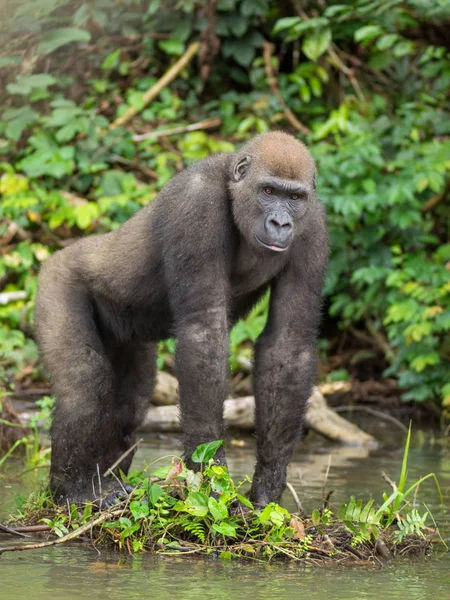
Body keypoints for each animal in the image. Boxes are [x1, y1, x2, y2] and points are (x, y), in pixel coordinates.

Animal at [35, 131, 328, 506]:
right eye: (267, 191)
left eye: (293, 197)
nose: (280, 222)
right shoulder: (197, 203)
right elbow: (204, 332)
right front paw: (210, 475)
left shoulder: (313, 226)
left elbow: (287, 345)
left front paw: (268, 484)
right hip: (56, 280)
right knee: (83, 382)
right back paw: (74, 490)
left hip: (125, 333)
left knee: (128, 405)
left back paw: (107, 481)